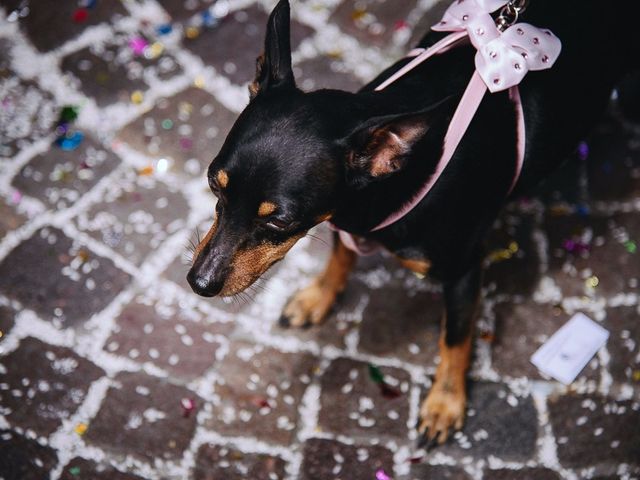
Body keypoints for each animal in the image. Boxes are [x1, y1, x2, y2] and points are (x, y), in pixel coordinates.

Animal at [186, 0, 640, 446]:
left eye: (280, 220)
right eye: (213, 183)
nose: (199, 283)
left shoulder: (463, 272)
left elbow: (454, 338)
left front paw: (445, 404)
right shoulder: (346, 219)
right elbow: (341, 256)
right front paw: (318, 297)